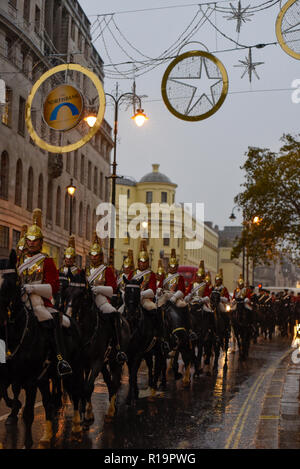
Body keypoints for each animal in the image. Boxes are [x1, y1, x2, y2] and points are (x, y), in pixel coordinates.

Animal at [0, 250, 83, 448]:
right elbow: (7, 394)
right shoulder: (10, 376)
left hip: (74, 369)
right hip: (46, 377)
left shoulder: (30, 380)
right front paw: (13, 408)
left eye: (10, 283)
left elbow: (28, 414)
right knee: (48, 401)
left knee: (76, 393)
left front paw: (28, 442)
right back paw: (47, 435)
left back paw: (76, 427)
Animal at [60, 266, 131, 424]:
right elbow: (82, 387)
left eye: (81, 294)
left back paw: (111, 410)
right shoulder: (80, 363)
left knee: (114, 382)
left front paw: (88, 414)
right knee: (109, 382)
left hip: (114, 361)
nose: (68, 316)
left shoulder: (96, 362)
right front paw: (85, 410)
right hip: (104, 364)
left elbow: (88, 387)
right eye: (66, 293)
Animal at [122, 276, 164, 404]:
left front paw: (130, 398)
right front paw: (134, 394)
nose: (131, 314)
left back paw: (154, 386)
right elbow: (132, 374)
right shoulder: (129, 353)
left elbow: (132, 374)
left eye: (137, 293)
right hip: (148, 351)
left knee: (158, 364)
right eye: (126, 291)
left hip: (157, 348)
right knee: (150, 365)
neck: (132, 325)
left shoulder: (138, 353)